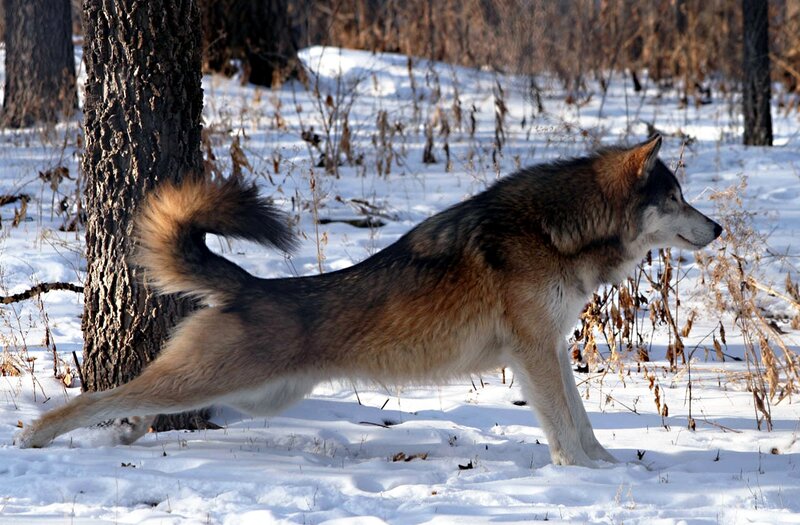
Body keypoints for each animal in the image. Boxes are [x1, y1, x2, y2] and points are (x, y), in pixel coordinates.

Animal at [17, 135, 721, 467]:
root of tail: (248, 283)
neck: (558, 231)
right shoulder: (534, 353)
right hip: (215, 380)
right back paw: (34, 439)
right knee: (95, 398)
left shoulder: (546, 349)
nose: (716, 228)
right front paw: (583, 474)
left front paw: (610, 468)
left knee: (131, 402)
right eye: (678, 198)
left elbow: (582, 422)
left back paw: (127, 433)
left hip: (253, 394)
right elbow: (565, 428)